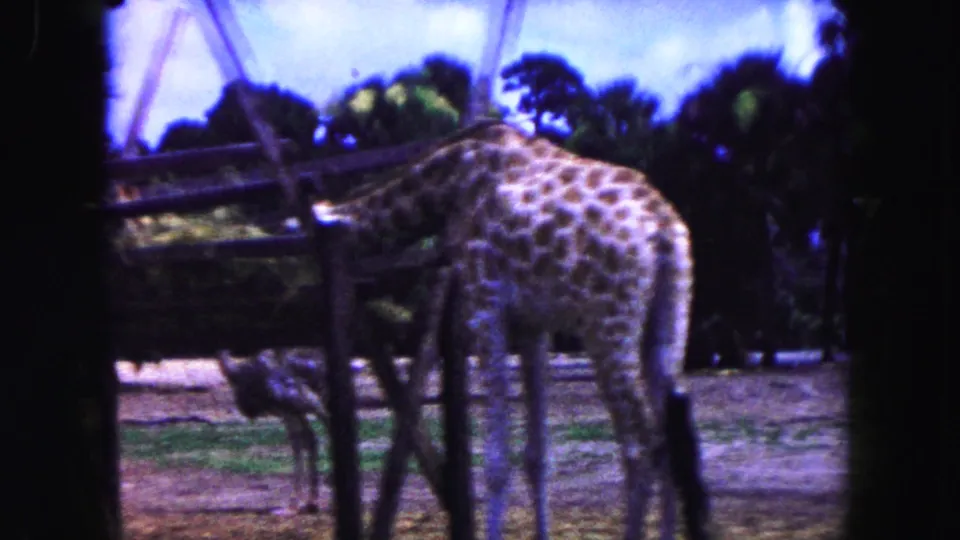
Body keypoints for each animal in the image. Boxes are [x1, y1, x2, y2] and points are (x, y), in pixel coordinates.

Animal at [311, 120, 698, 540]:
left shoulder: (485, 304)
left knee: (642, 443)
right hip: (669, 315)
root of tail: (664, 227)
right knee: (668, 434)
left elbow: (495, 461)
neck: (450, 180)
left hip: (608, 325)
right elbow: (537, 456)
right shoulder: (534, 324)